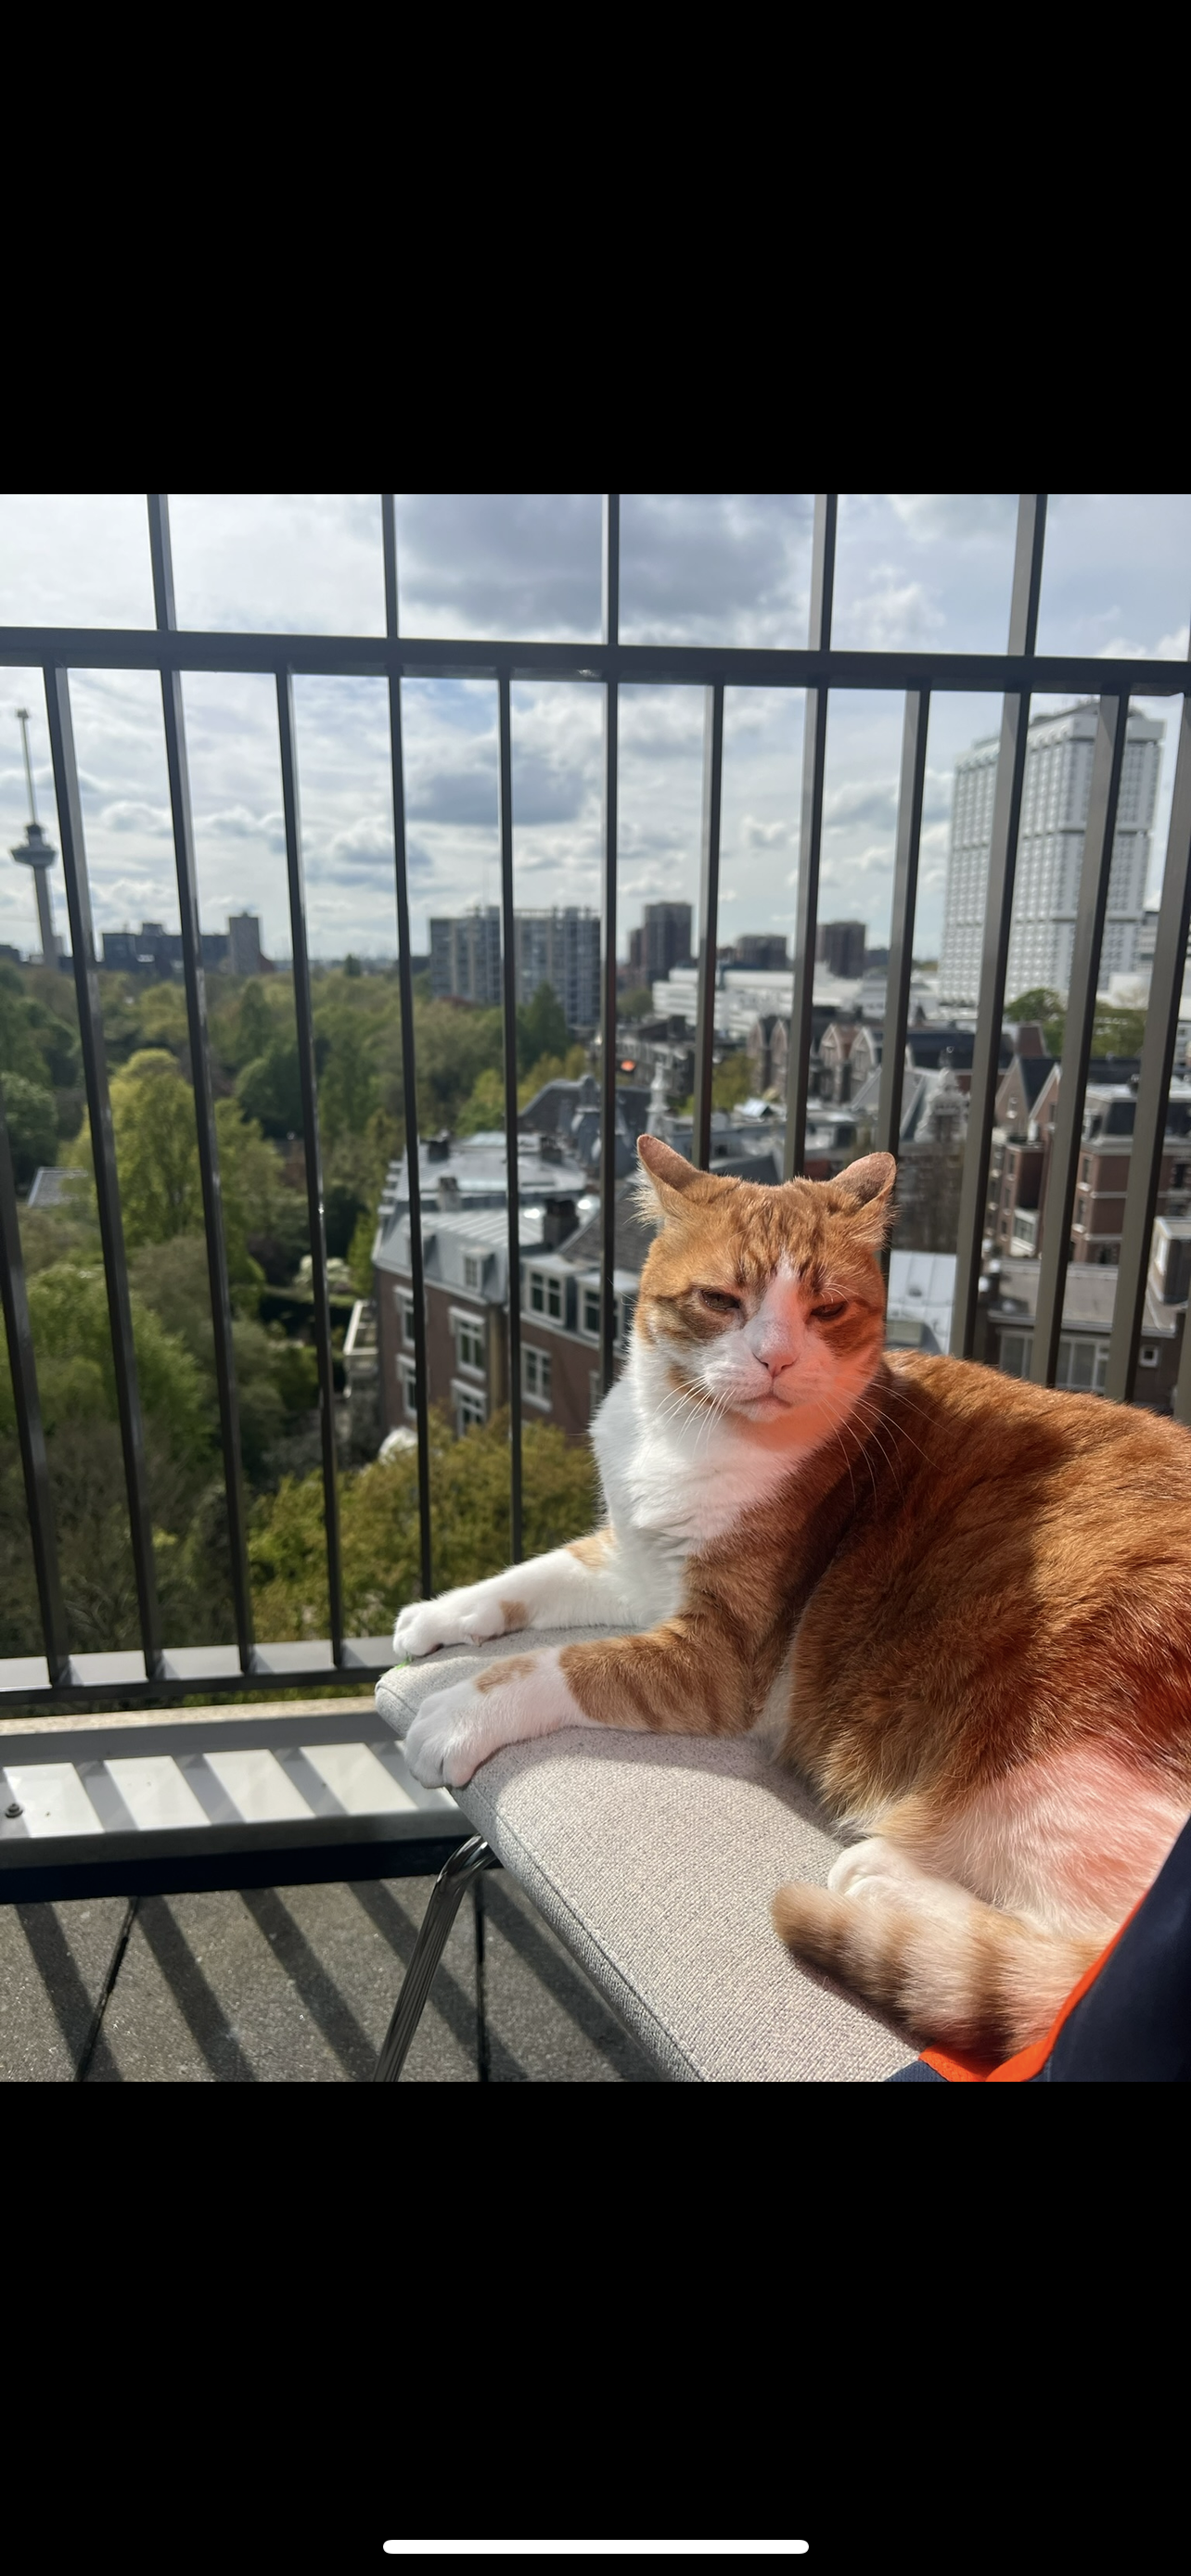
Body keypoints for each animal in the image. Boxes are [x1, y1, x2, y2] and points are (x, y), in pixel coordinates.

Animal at [393, 1134, 1191, 2058]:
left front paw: (455, 1711)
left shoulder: (715, 1657)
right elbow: (526, 1580)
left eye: (827, 1309)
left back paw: (881, 1881)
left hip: (1047, 1760)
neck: (688, 1436)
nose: (774, 1355)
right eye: (720, 1300)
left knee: (1079, 1962)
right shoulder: (632, 1569)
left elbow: (553, 1666)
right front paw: (437, 1615)